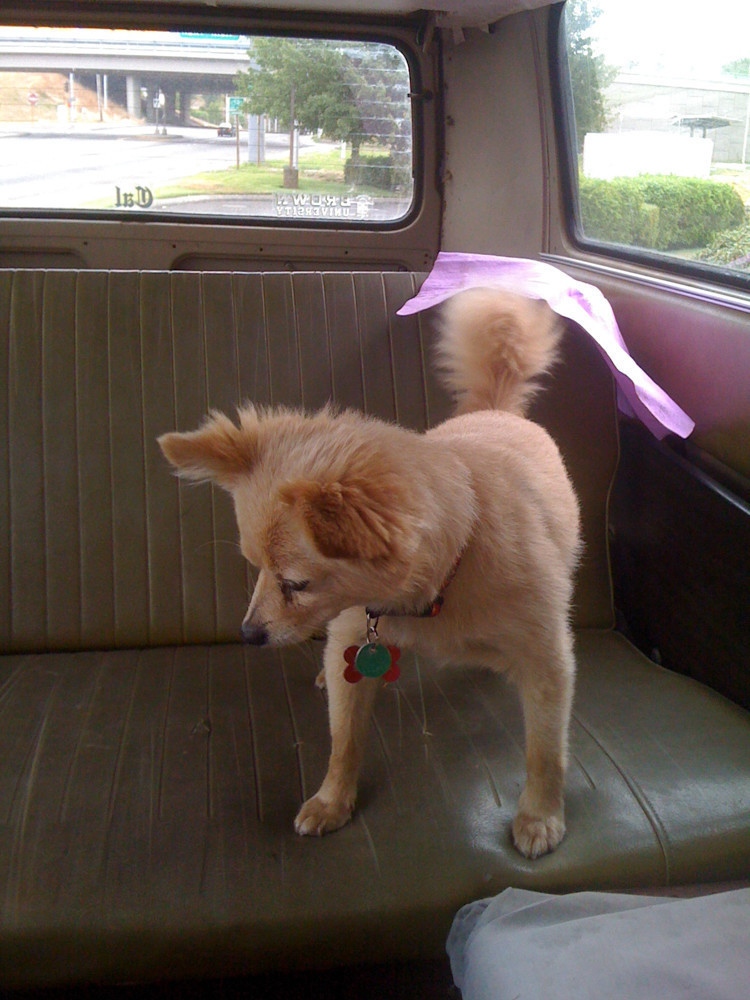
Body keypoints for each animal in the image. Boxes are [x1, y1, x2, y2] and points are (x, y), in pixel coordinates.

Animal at [158, 288, 581, 858]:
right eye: (257, 570)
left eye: (296, 584)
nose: (247, 634)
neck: (435, 590)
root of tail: (494, 409)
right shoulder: (352, 642)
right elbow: (345, 739)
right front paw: (332, 800)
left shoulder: (547, 666)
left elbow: (545, 751)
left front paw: (540, 815)